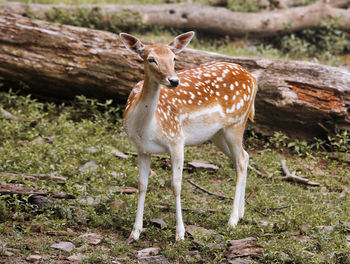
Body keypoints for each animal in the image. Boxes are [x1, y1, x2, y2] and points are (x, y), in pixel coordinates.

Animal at [118, 31, 258, 243]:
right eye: (151, 59)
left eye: (174, 58)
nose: (174, 81)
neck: (146, 127)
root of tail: (253, 78)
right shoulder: (141, 148)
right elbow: (142, 185)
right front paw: (135, 232)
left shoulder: (176, 140)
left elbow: (176, 185)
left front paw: (180, 234)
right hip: (218, 134)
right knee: (244, 156)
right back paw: (241, 213)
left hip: (236, 123)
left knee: (241, 160)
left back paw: (232, 220)